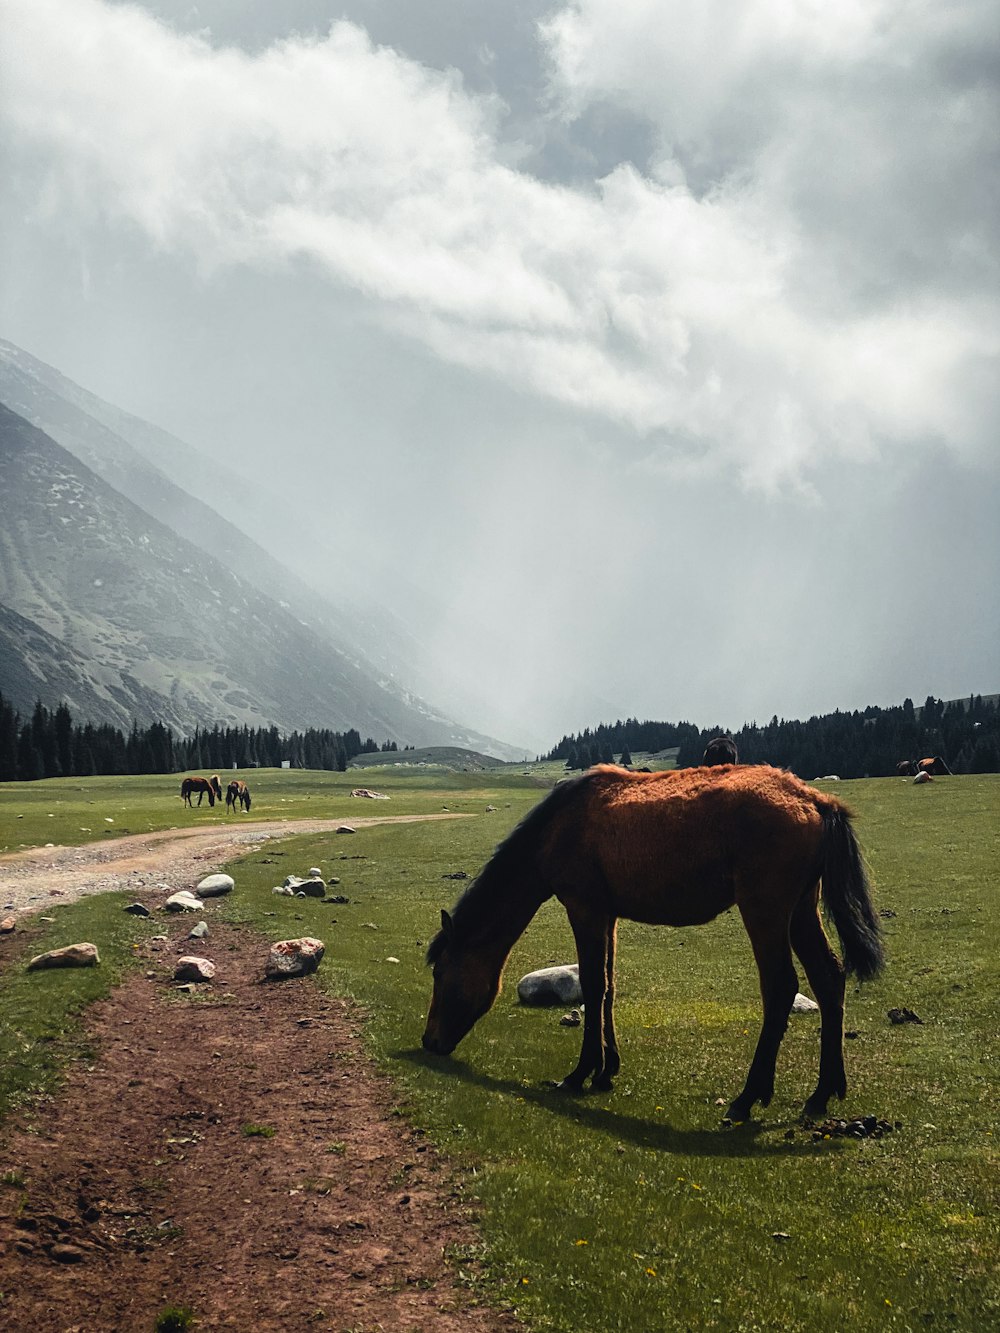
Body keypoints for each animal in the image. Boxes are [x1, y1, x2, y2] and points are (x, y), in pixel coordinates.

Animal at [424, 767, 885, 1119]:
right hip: (802, 910)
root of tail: (815, 800)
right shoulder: (606, 913)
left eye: (440, 973)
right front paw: (606, 1070)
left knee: (781, 986)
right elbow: (608, 987)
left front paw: (579, 1073)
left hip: (766, 910)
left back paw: (748, 1096)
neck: (557, 828)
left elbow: (593, 985)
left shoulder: (583, 907)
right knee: (828, 978)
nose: (429, 1042)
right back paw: (822, 1093)